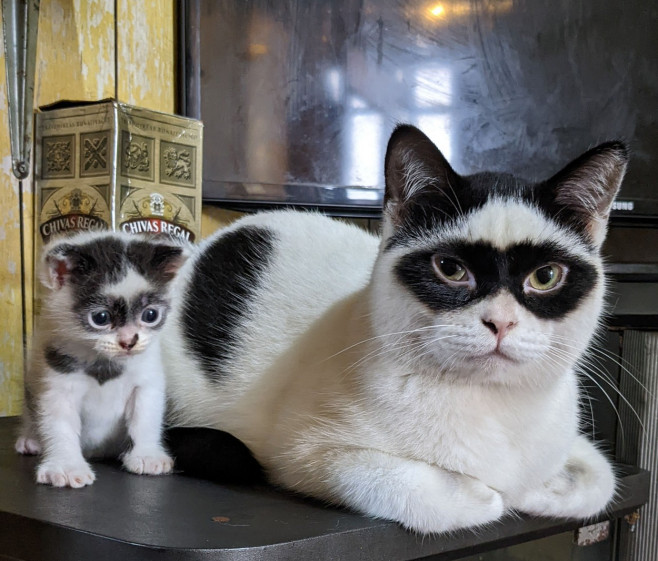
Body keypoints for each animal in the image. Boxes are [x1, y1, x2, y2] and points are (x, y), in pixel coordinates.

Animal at [16, 231, 186, 486]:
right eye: (101, 317)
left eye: (150, 315)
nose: (129, 341)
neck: (105, 364)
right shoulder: (57, 381)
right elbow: (60, 425)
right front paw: (67, 466)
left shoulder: (147, 381)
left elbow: (145, 418)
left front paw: (147, 454)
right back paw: (30, 438)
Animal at [161, 124, 624, 532]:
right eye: (450, 269)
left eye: (546, 276)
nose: (501, 322)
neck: (491, 406)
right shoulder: (304, 453)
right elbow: (417, 489)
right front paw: (485, 495)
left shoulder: (570, 442)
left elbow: (601, 478)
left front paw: (542, 488)